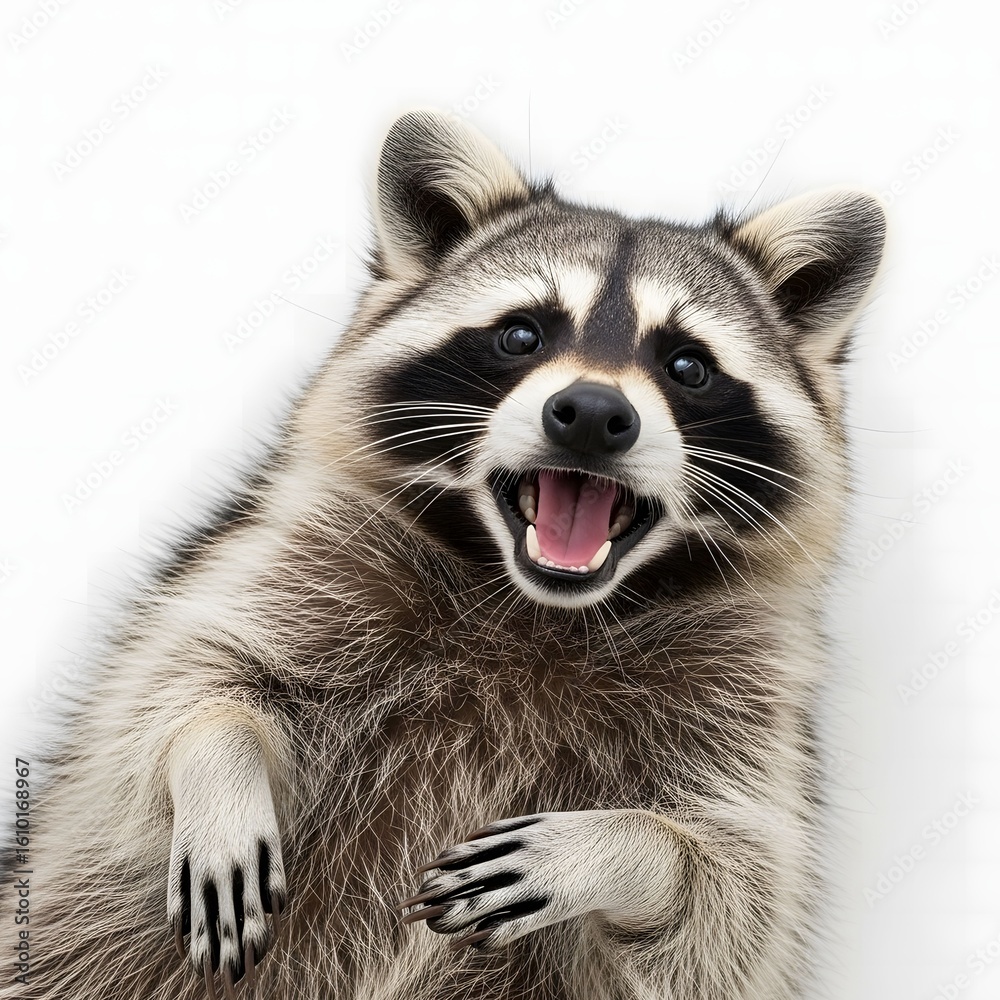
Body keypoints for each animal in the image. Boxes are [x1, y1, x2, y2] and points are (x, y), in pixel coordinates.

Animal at [2, 110, 886, 1000]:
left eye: (687, 365)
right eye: (522, 333)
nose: (591, 413)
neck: (538, 604)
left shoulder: (748, 702)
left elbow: (736, 899)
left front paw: (623, 850)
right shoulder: (298, 553)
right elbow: (174, 690)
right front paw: (218, 764)